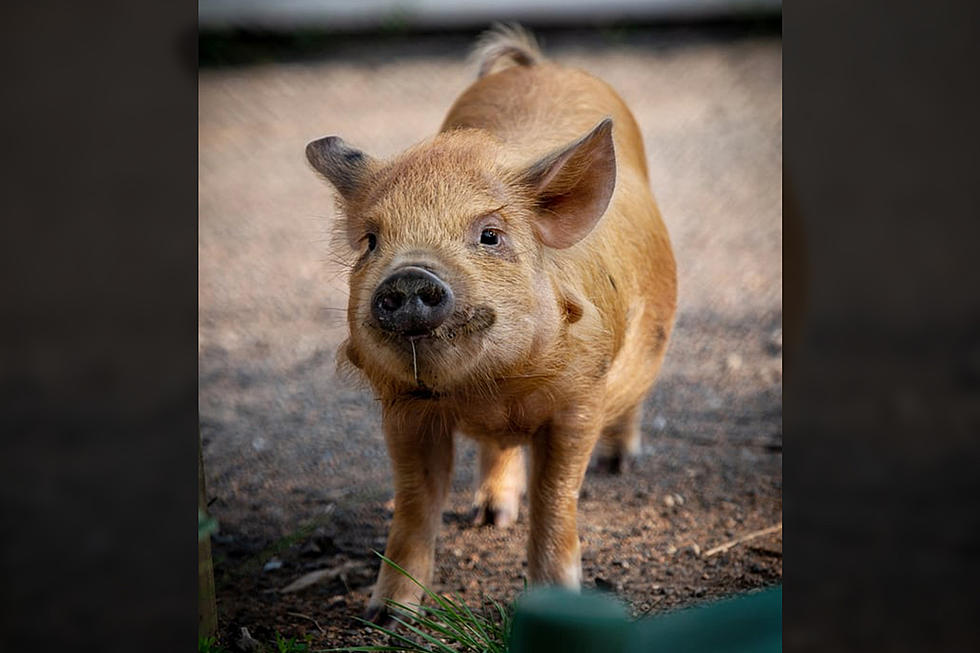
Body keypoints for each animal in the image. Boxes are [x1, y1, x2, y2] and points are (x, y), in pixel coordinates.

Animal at [304, 25, 672, 624]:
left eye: (490, 236)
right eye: (371, 242)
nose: (409, 274)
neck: (491, 391)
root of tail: (536, 64)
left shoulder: (581, 397)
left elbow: (556, 498)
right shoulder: (404, 410)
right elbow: (416, 502)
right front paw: (386, 618)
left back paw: (619, 463)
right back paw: (488, 517)